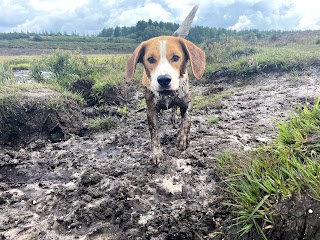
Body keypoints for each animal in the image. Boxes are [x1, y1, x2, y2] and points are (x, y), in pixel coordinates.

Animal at [126, 35, 206, 163]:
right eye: (150, 59)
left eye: (176, 57)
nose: (164, 79)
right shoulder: (151, 110)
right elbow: (154, 133)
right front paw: (156, 153)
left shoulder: (186, 103)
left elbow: (187, 119)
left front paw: (183, 139)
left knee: (175, 108)